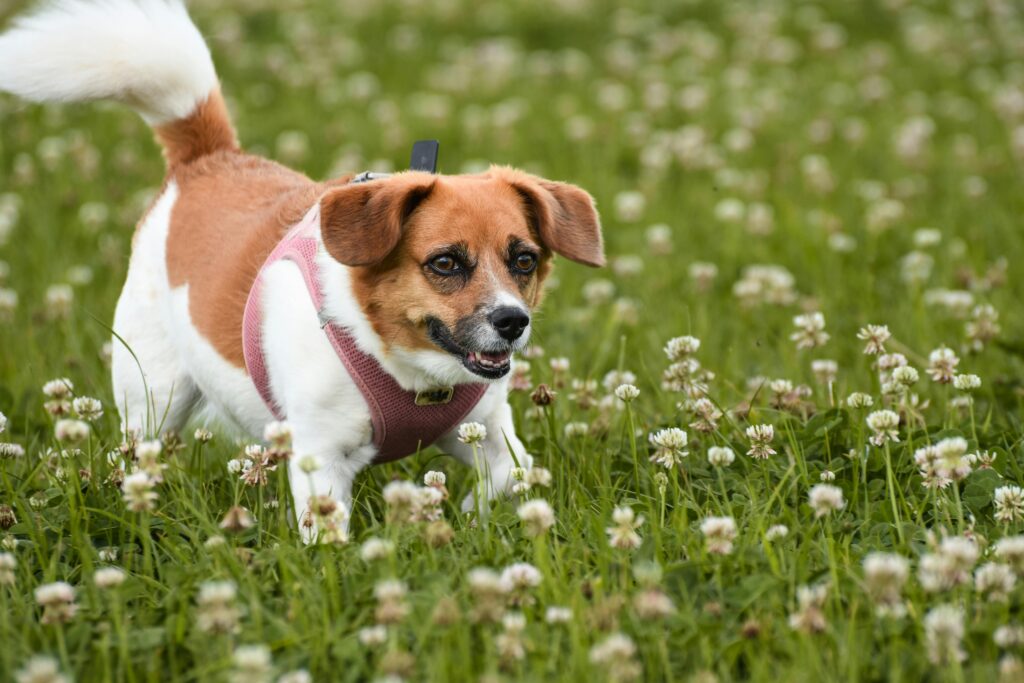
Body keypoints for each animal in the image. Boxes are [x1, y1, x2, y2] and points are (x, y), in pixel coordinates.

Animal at [0, 0, 602, 540]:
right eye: (445, 263)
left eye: (523, 260)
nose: (513, 321)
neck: (409, 370)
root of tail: (209, 158)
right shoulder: (321, 458)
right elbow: (327, 541)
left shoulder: (491, 439)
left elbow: (505, 483)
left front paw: (472, 522)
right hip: (153, 396)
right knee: (135, 454)